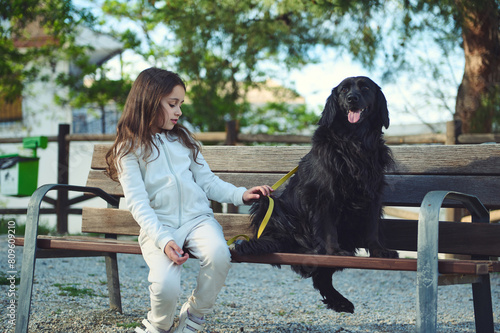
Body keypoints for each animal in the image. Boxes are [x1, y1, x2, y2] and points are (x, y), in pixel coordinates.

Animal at [235, 76, 398, 312]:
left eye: (365, 87)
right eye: (343, 90)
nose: (352, 99)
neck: (354, 141)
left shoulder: (374, 193)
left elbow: (372, 228)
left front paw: (379, 251)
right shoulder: (323, 194)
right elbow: (328, 229)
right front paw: (334, 252)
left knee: (322, 276)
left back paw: (339, 300)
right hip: (273, 206)